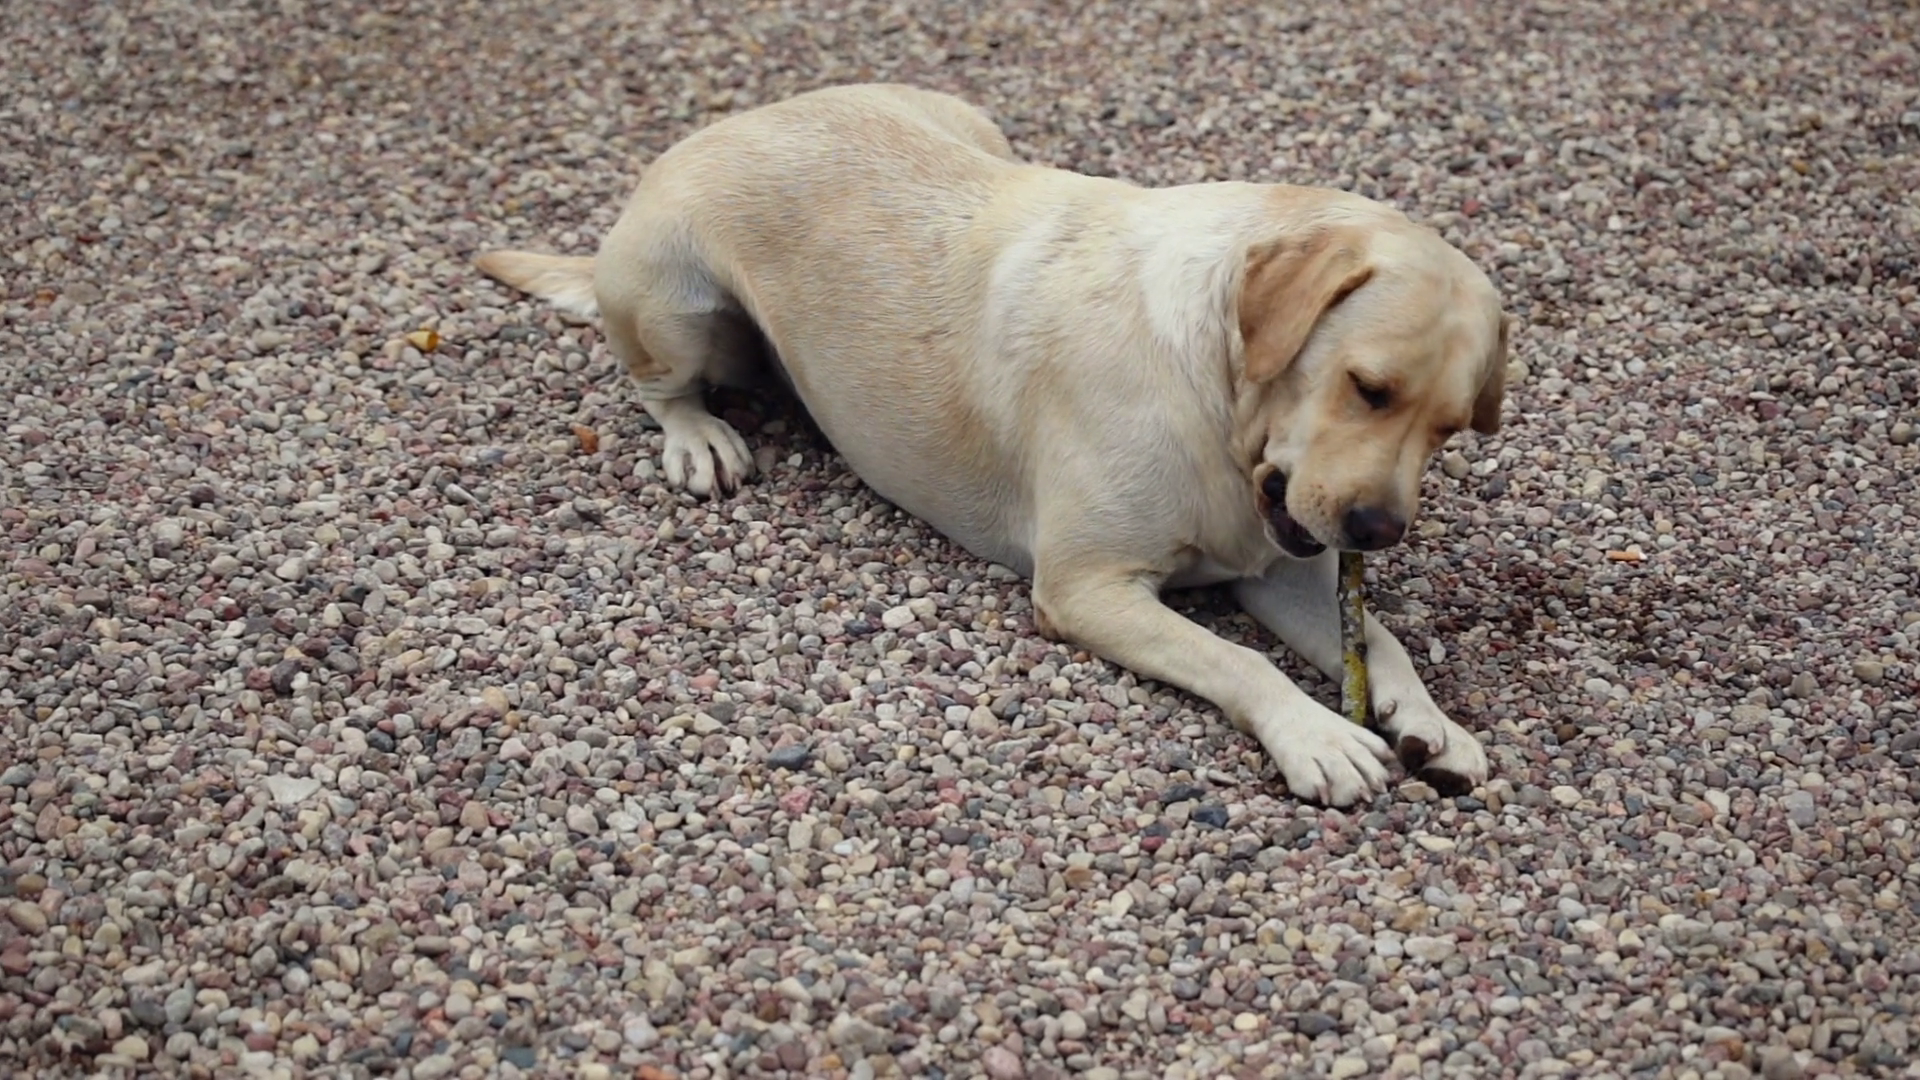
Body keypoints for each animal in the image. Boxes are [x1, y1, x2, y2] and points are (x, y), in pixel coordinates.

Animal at [473, 83, 1506, 806]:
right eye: (1367, 386)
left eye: (1451, 428)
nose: (1376, 532)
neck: (1215, 385)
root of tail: (731, 120)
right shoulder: (1085, 587)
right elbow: (1238, 661)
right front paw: (1318, 735)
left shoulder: (1281, 568)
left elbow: (1383, 642)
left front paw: (1431, 722)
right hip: (676, 305)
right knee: (659, 386)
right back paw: (699, 438)